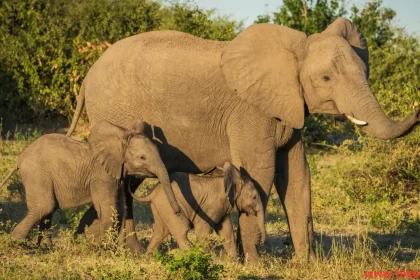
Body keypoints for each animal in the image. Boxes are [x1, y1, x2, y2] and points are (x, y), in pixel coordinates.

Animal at [0, 119, 180, 246]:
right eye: (142, 158)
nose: (178, 212)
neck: (119, 141)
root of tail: (20, 158)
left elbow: (119, 209)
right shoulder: (102, 176)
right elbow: (109, 209)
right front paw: (105, 249)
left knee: (47, 210)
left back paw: (45, 247)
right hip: (37, 174)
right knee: (45, 207)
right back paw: (17, 242)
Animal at [131, 162, 266, 258]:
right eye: (254, 197)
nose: (261, 243)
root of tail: (152, 193)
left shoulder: (222, 208)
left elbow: (226, 231)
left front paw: (234, 263)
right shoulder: (212, 205)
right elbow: (203, 230)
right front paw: (210, 260)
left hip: (160, 207)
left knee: (161, 232)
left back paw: (148, 259)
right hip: (169, 206)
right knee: (181, 231)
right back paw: (191, 254)